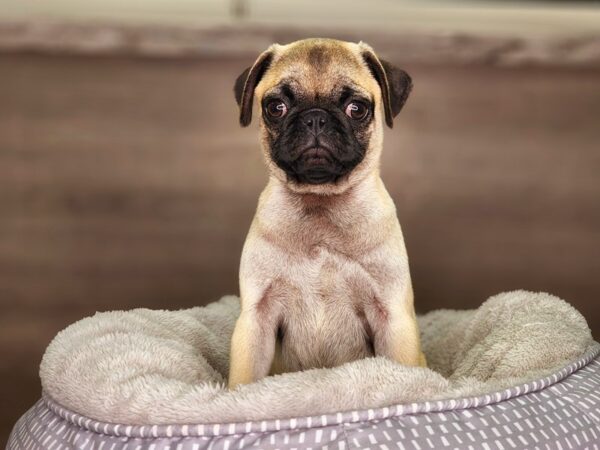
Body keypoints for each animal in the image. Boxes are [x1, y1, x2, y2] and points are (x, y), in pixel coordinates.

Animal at [226, 38, 426, 388]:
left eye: (357, 108)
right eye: (275, 107)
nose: (315, 118)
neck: (321, 206)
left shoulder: (393, 318)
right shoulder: (257, 317)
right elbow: (245, 378)